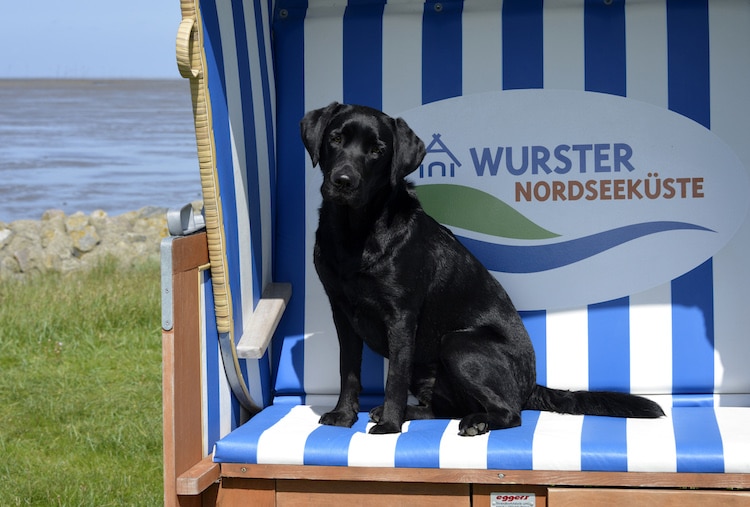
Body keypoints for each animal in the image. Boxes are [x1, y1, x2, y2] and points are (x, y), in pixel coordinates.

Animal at [300, 103, 664, 436]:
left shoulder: (401, 316)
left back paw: (474, 421)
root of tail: (532, 385)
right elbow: (348, 369)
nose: (343, 180)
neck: (355, 232)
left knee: (509, 413)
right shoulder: (342, 311)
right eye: (335, 138)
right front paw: (344, 415)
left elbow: (394, 379)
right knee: (444, 407)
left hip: (458, 344)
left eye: (377, 150)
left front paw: (389, 425)